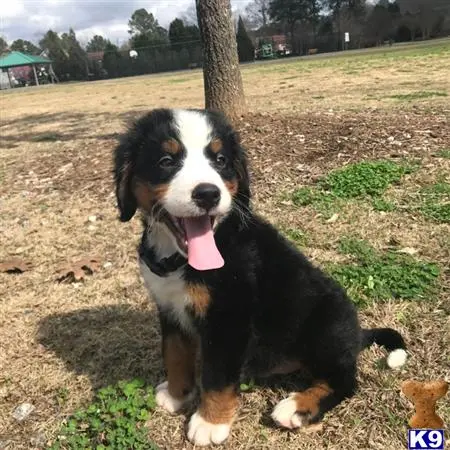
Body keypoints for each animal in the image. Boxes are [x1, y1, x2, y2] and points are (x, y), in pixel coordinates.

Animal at [113, 108, 408, 446]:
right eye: (166, 161)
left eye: (221, 160)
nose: (208, 194)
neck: (179, 258)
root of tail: (357, 333)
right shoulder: (169, 308)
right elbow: (175, 354)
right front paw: (177, 394)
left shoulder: (229, 319)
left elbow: (216, 377)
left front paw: (210, 422)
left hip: (325, 325)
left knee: (345, 380)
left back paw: (296, 407)